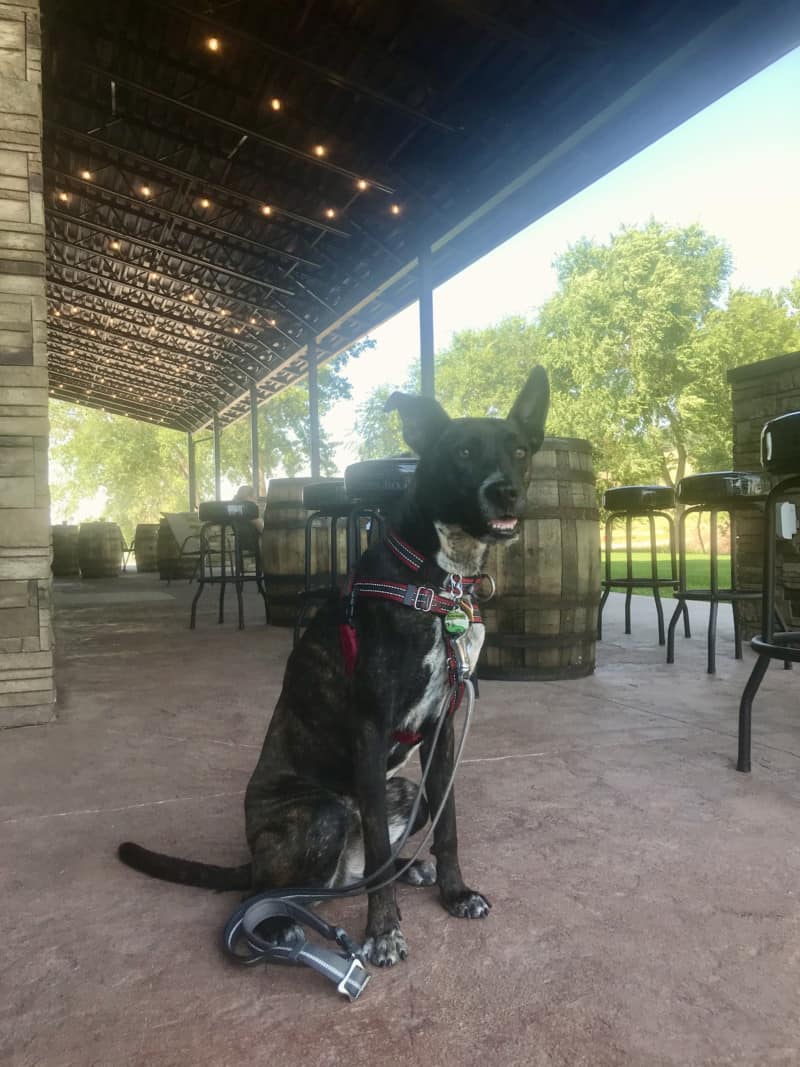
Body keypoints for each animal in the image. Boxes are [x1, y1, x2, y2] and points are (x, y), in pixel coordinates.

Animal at [120, 367, 550, 968]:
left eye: (519, 450)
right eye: (463, 452)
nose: (507, 489)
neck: (436, 583)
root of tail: (255, 856)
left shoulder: (442, 735)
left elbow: (448, 826)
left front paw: (455, 892)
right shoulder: (370, 732)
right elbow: (378, 847)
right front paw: (384, 932)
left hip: (403, 792)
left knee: (359, 866)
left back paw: (408, 869)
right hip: (322, 812)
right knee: (271, 891)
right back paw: (280, 927)